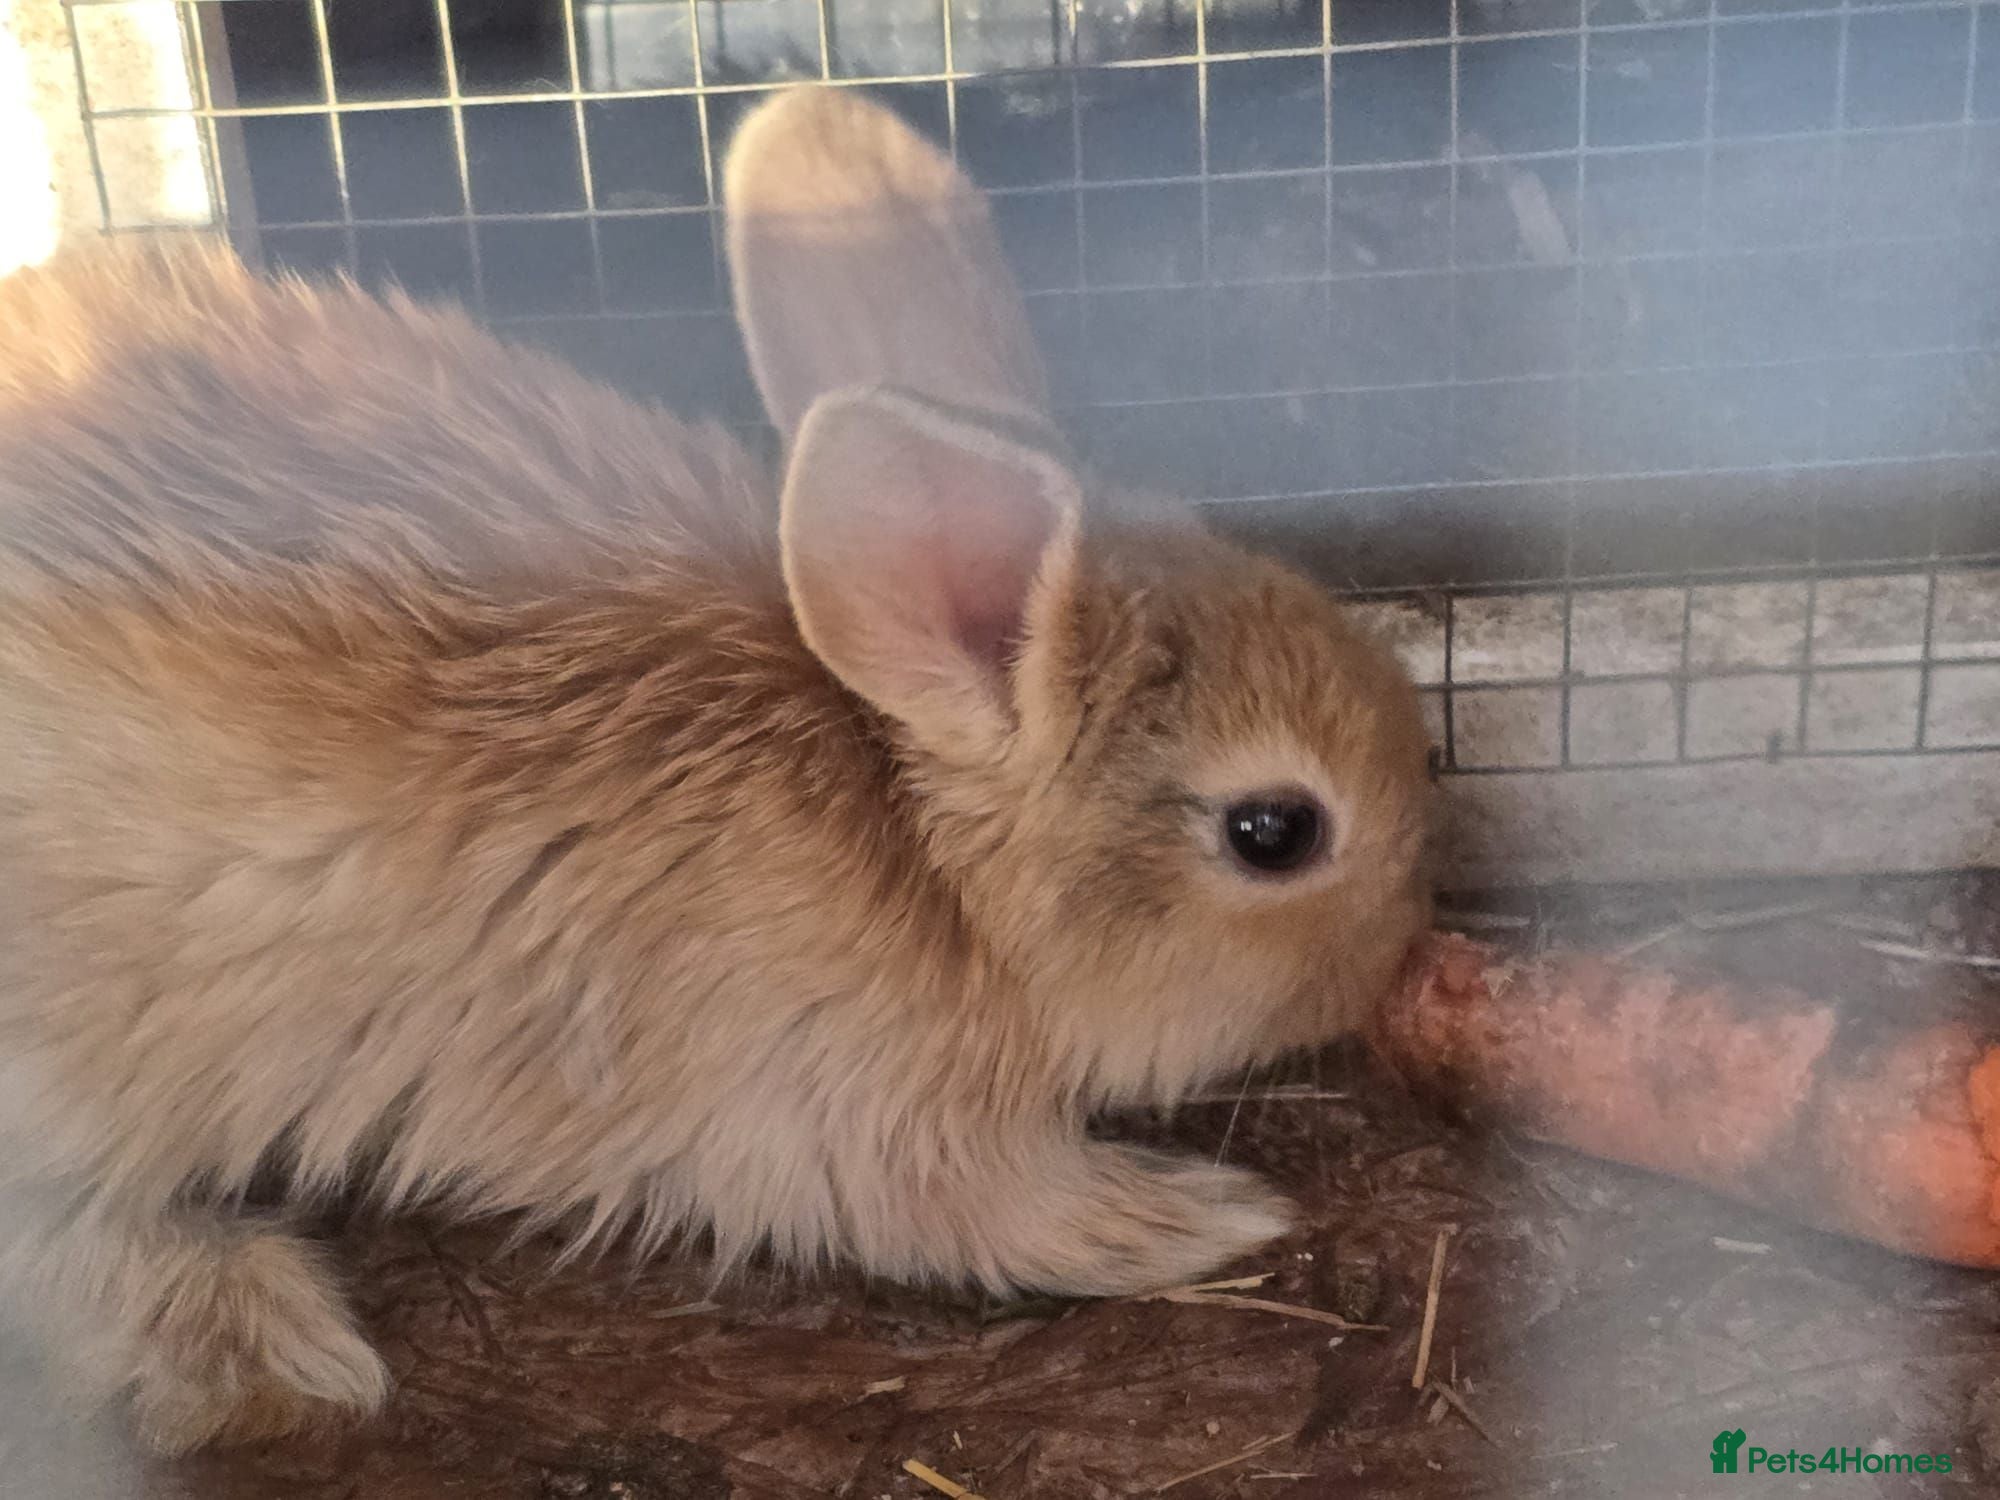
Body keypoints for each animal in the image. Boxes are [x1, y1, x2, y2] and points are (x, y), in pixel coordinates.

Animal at [0, 85, 1432, 1454]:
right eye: (1272, 832)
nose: (1403, 953)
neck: (927, 851)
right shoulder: (850, 1113)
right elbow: (998, 1212)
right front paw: (1206, 1217)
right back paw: (267, 1343)